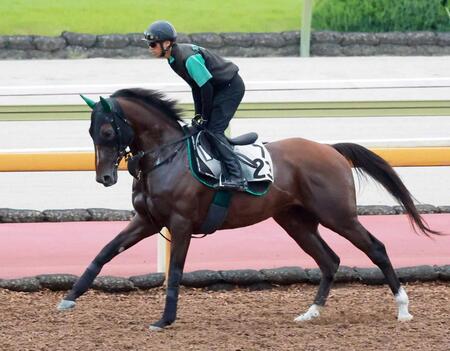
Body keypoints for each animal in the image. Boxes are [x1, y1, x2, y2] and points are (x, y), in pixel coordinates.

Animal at [56, 88, 440, 332]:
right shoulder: (148, 221)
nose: (104, 176)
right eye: (90, 131)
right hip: (296, 221)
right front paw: (69, 299)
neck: (165, 156)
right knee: (329, 260)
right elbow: (104, 253)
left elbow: (176, 272)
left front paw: (165, 320)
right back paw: (311, 312)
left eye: (108, 130)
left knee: (376, 248)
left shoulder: (180, 224)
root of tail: (331, 149)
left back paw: (403, 308)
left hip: (338, 215)